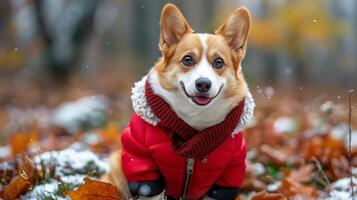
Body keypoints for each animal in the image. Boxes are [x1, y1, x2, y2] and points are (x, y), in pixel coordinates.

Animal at [103, 3, 253, 200]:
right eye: (187, 60)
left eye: (219, 62)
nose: (203, 84)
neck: (196, 117)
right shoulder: (140, 159)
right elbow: (149, 190)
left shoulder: (231, 169)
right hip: (116, 164)